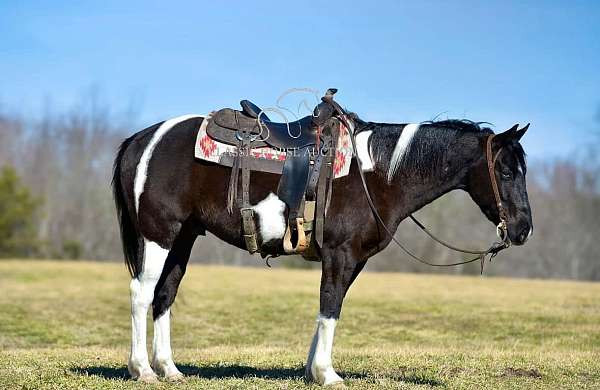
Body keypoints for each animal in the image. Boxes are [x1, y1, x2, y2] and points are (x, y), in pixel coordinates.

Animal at [113, 97, 536, 384]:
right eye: (506, 171)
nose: (523, 230)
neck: (376, 174)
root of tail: (142, 138)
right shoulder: (339, 253)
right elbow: (330, 306)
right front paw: (326, 373)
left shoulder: (353, 259)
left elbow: (331, 306)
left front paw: (311, 370)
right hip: (159, 234)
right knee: (141, 292)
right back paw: (142, 369)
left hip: (183, 237)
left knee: (165, 294)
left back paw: (169, 368)